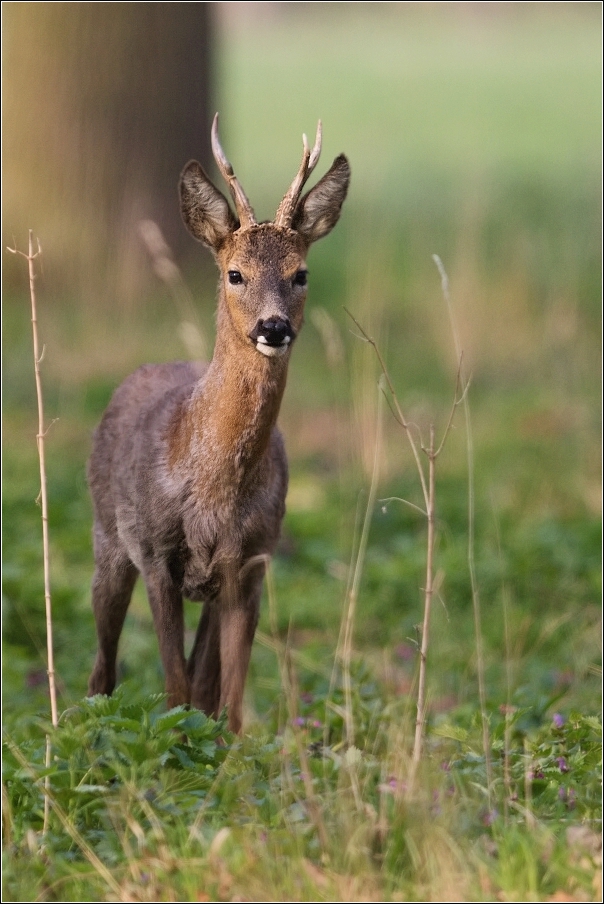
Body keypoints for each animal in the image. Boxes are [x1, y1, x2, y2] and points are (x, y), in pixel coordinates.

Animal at [85, 115, 350, 736]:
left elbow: (226, 700)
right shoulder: (156, 555)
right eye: (235, 273)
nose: (274, 327)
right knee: (102, 670)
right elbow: (175, 688)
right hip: (107, 539)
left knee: (203, 686)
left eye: (301, 273)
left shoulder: (251, 563)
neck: (212, 489)